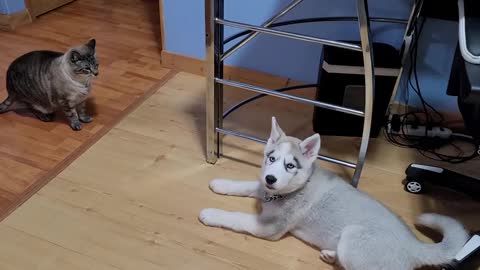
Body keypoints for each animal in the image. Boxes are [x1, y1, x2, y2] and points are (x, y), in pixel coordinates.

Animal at [198, 116, 468, 270]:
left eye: (290, 165)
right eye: (271, 158)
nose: (270, 178)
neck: (293, 190)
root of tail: (414, 245)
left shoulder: (268, 228)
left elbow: (236, 217)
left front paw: (210, 213)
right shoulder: (264, 190)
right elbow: (246, 185)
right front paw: (221, 183)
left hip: (353, 237)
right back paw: (330, 255)